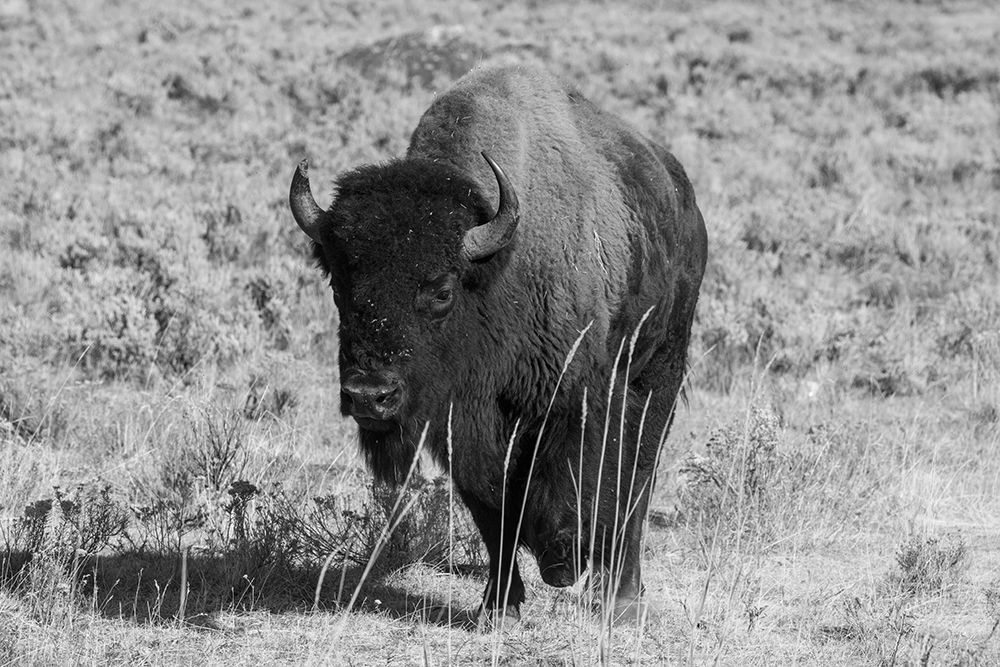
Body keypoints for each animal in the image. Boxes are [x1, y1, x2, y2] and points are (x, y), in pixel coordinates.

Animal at [290, 65, 708, 624]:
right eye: (338, 285)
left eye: (441, 291)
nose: (369, 396)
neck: (497, 268)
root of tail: (685, 201)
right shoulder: (463, 425)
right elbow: (494, 514)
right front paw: (499, 606)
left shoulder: (578, 401)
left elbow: (585, 484)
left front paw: (564, 565)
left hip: (660, 370)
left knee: (638, 482)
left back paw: (620, 599)